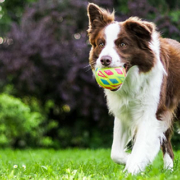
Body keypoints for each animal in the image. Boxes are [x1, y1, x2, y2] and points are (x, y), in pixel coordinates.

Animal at [86, 2, 180, 174]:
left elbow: (141, 145)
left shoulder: (152, 112)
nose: (105, 60)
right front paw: (132, 160)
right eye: (101, 44)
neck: (132, 81)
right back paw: (168, 170)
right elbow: (115, 153)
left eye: (123, 44)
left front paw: (132, 169)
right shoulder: (124, 111)